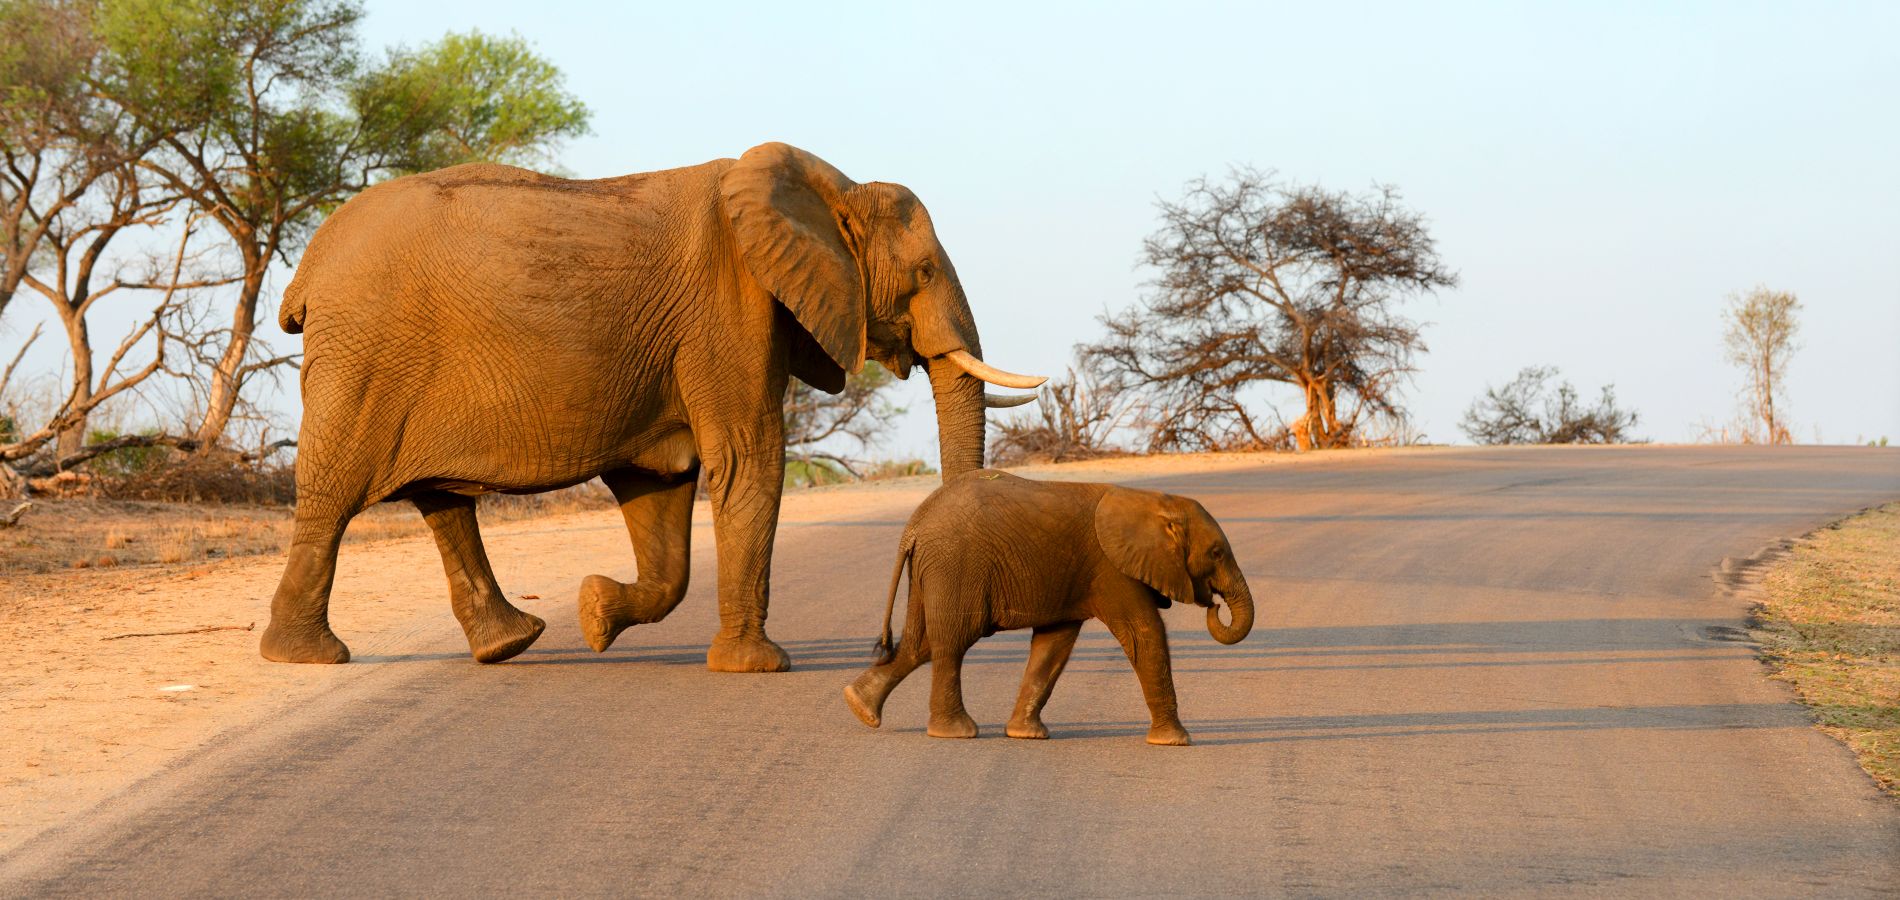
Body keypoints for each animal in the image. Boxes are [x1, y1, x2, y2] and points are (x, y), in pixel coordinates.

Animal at [262, 140, 1048, 672]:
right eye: (923, 274)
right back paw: (308, 657)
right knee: (334, 495)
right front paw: (759, 667)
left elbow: (664, 488)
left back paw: (510, 644)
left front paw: (594, 614)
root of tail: (309, 267)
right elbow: (748, 459)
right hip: (365, 357)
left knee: (443, 503)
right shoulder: (727, 308)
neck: (831, 190)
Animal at [843, 470, 1254, 744]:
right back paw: (955, 732)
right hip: (955, 564)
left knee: (920, 643)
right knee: (952, 641)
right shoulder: (1112, 568)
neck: (1155, 501)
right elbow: (1144, 633)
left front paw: (1026, 735)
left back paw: (861, 707)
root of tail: (914, 525)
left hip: (931, 569)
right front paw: (1176, 741)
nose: (1214, 604)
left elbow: (1053, 645)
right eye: (1216, 553)